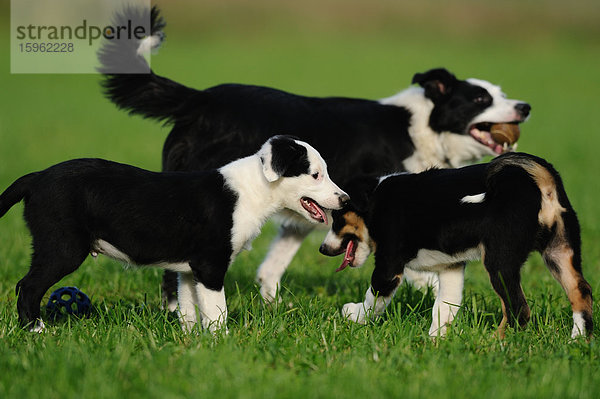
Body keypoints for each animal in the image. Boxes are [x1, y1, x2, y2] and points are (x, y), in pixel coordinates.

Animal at [0, 136, 350, 332]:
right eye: (315, 175)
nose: (345, 199)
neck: (254, 190)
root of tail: (36, 177)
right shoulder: (210, 266)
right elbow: (217, 311)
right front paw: (222, 343)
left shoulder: (189, 271)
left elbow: (189, 309)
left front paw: (191, 342)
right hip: (63, 246)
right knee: (28, 286)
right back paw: (36, 330)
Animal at [97, 7, 528, 306]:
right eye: (480, 99)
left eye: (501, 93)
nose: (525, 106)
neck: (420, 128)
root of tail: (198, 99)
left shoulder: (308, 214)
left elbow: (269, 270)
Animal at [322, 152, 592, 340]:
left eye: (337, 218)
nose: (323, 249)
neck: (376, 200)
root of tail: (538, 178)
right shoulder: (450, 267)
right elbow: (444, 307)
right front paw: (435, 342)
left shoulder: (388, 266)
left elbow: (374, 299)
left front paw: (354, 314)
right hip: (559, 250)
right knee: (581, 292)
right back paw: (578, 341)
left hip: (499, 261)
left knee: (518, 309)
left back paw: (493, 343)